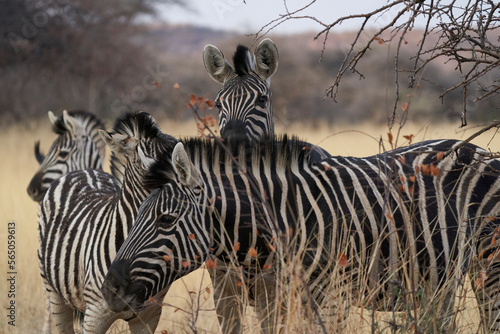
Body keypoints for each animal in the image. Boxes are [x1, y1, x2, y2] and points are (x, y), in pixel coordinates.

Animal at [100, 137, 500, 332]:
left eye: (166, 220)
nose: (111, 289)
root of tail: (479, 149)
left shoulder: (335, 297)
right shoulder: (276, 299)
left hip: (488, 267)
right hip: (442, 277)